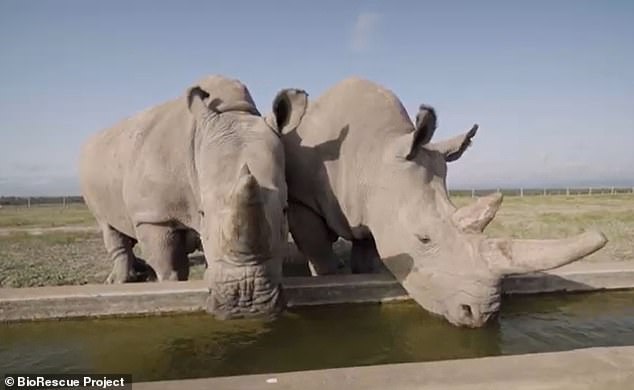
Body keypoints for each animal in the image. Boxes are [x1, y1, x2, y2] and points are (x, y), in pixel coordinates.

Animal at [79, 74, 306, 318]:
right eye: (202, 212)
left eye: (285, 211)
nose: (247, 305)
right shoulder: (153, 216)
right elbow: (169, 266)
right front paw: (169, 288)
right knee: (108, 226)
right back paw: (119, 282)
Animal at [282, 77, 608, 328]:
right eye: (423, 239)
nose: (480, 316)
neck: (372, 155)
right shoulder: (301, 200)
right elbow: (320, 255)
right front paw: (329, 278)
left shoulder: (375, 210)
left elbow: (367, 255)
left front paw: (364, 275)